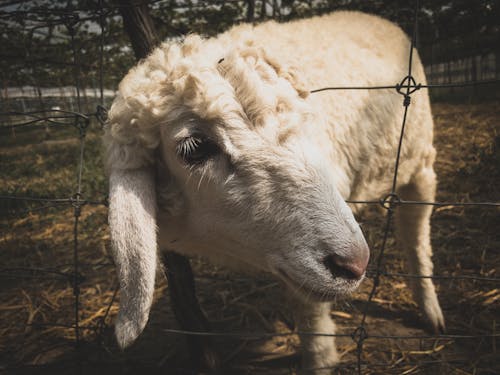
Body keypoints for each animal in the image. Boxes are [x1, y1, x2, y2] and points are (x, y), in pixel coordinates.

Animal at [103, 11, 444, 374]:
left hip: (420, 161)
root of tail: (370, 16)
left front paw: (319, 358)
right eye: (194, 149)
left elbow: (309, 307)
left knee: (416, 237)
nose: (353, 263)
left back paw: (430, 308)